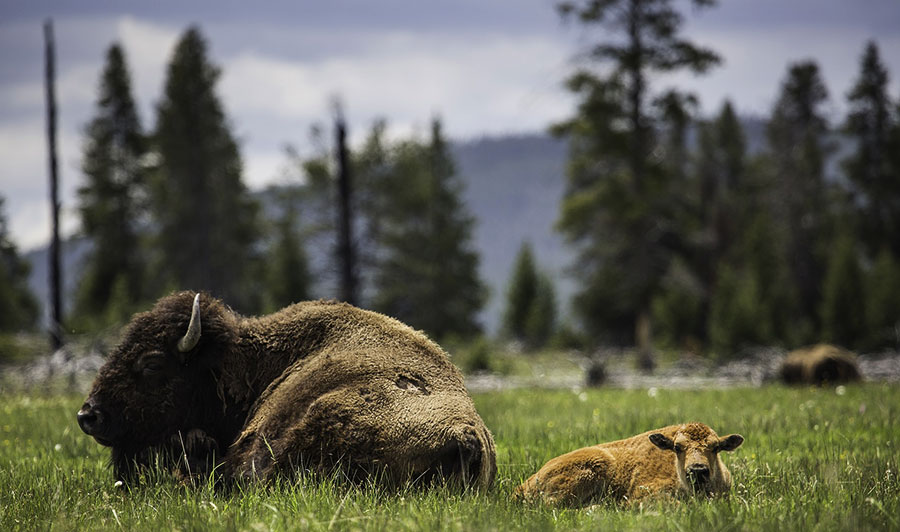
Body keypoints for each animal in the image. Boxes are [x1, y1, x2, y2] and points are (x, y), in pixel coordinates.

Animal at [512, 422, 744, 504]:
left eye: (715, 447)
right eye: (678, 447)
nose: (697, 470)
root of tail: (523, 485)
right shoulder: (643, 493)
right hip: (595, 467)